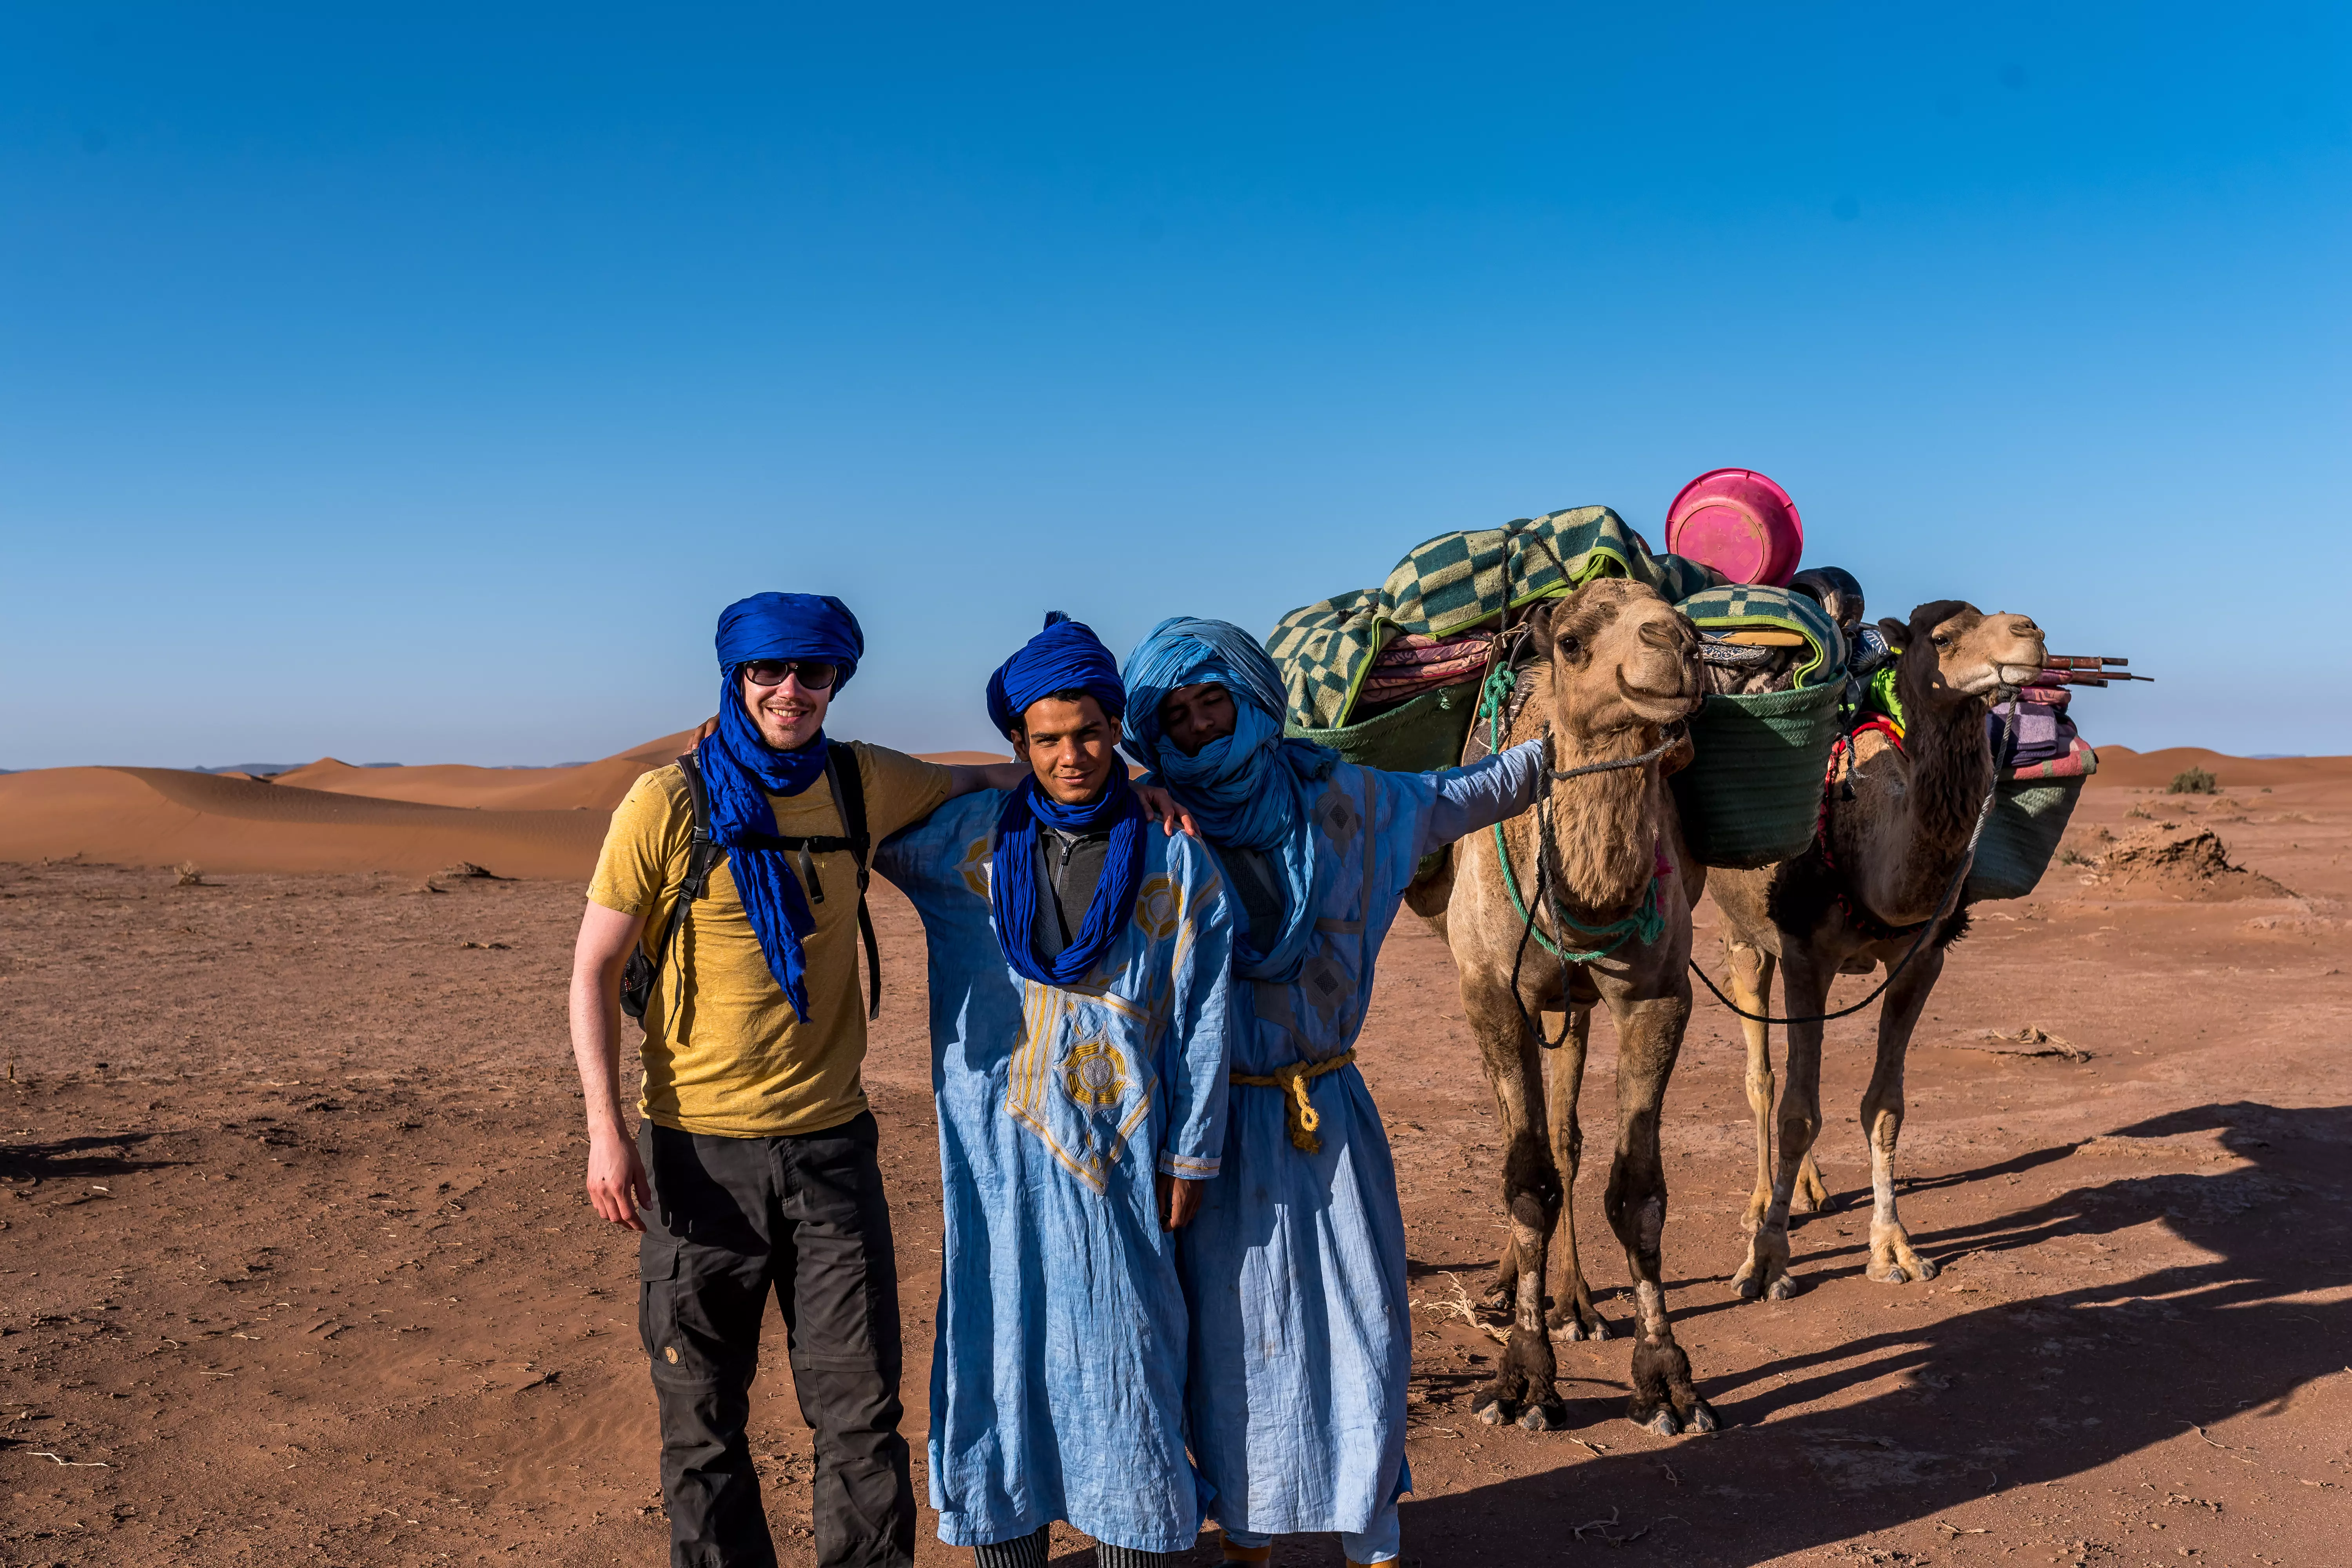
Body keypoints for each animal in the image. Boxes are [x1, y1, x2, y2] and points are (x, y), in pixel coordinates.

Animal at [1402, 576, 1722, 1439]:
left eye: (1680, 615)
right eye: (1574, 641)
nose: (1678, 645)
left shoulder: (1657, 995)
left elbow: (1638, 1190)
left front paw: (1667, 1382)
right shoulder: (1489, 989)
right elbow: (1525, 1181)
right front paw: (1522, 1381)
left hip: (1572, 1003)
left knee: (1566, 1133)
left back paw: (1572, 1301)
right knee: (1533, 1140)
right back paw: (1515, 1285)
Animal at [1712, 602, 2042, 1298]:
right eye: (1941, 638)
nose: (2030, 633)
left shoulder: (1922, 958)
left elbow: (1884, 1107)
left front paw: (1895, 1251)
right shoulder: (1805, 953)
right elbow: (1796, 1112)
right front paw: (1768, 1263)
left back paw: (1808, 1190)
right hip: (1744, 938)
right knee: (1764, 1077)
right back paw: (1761, 1203)